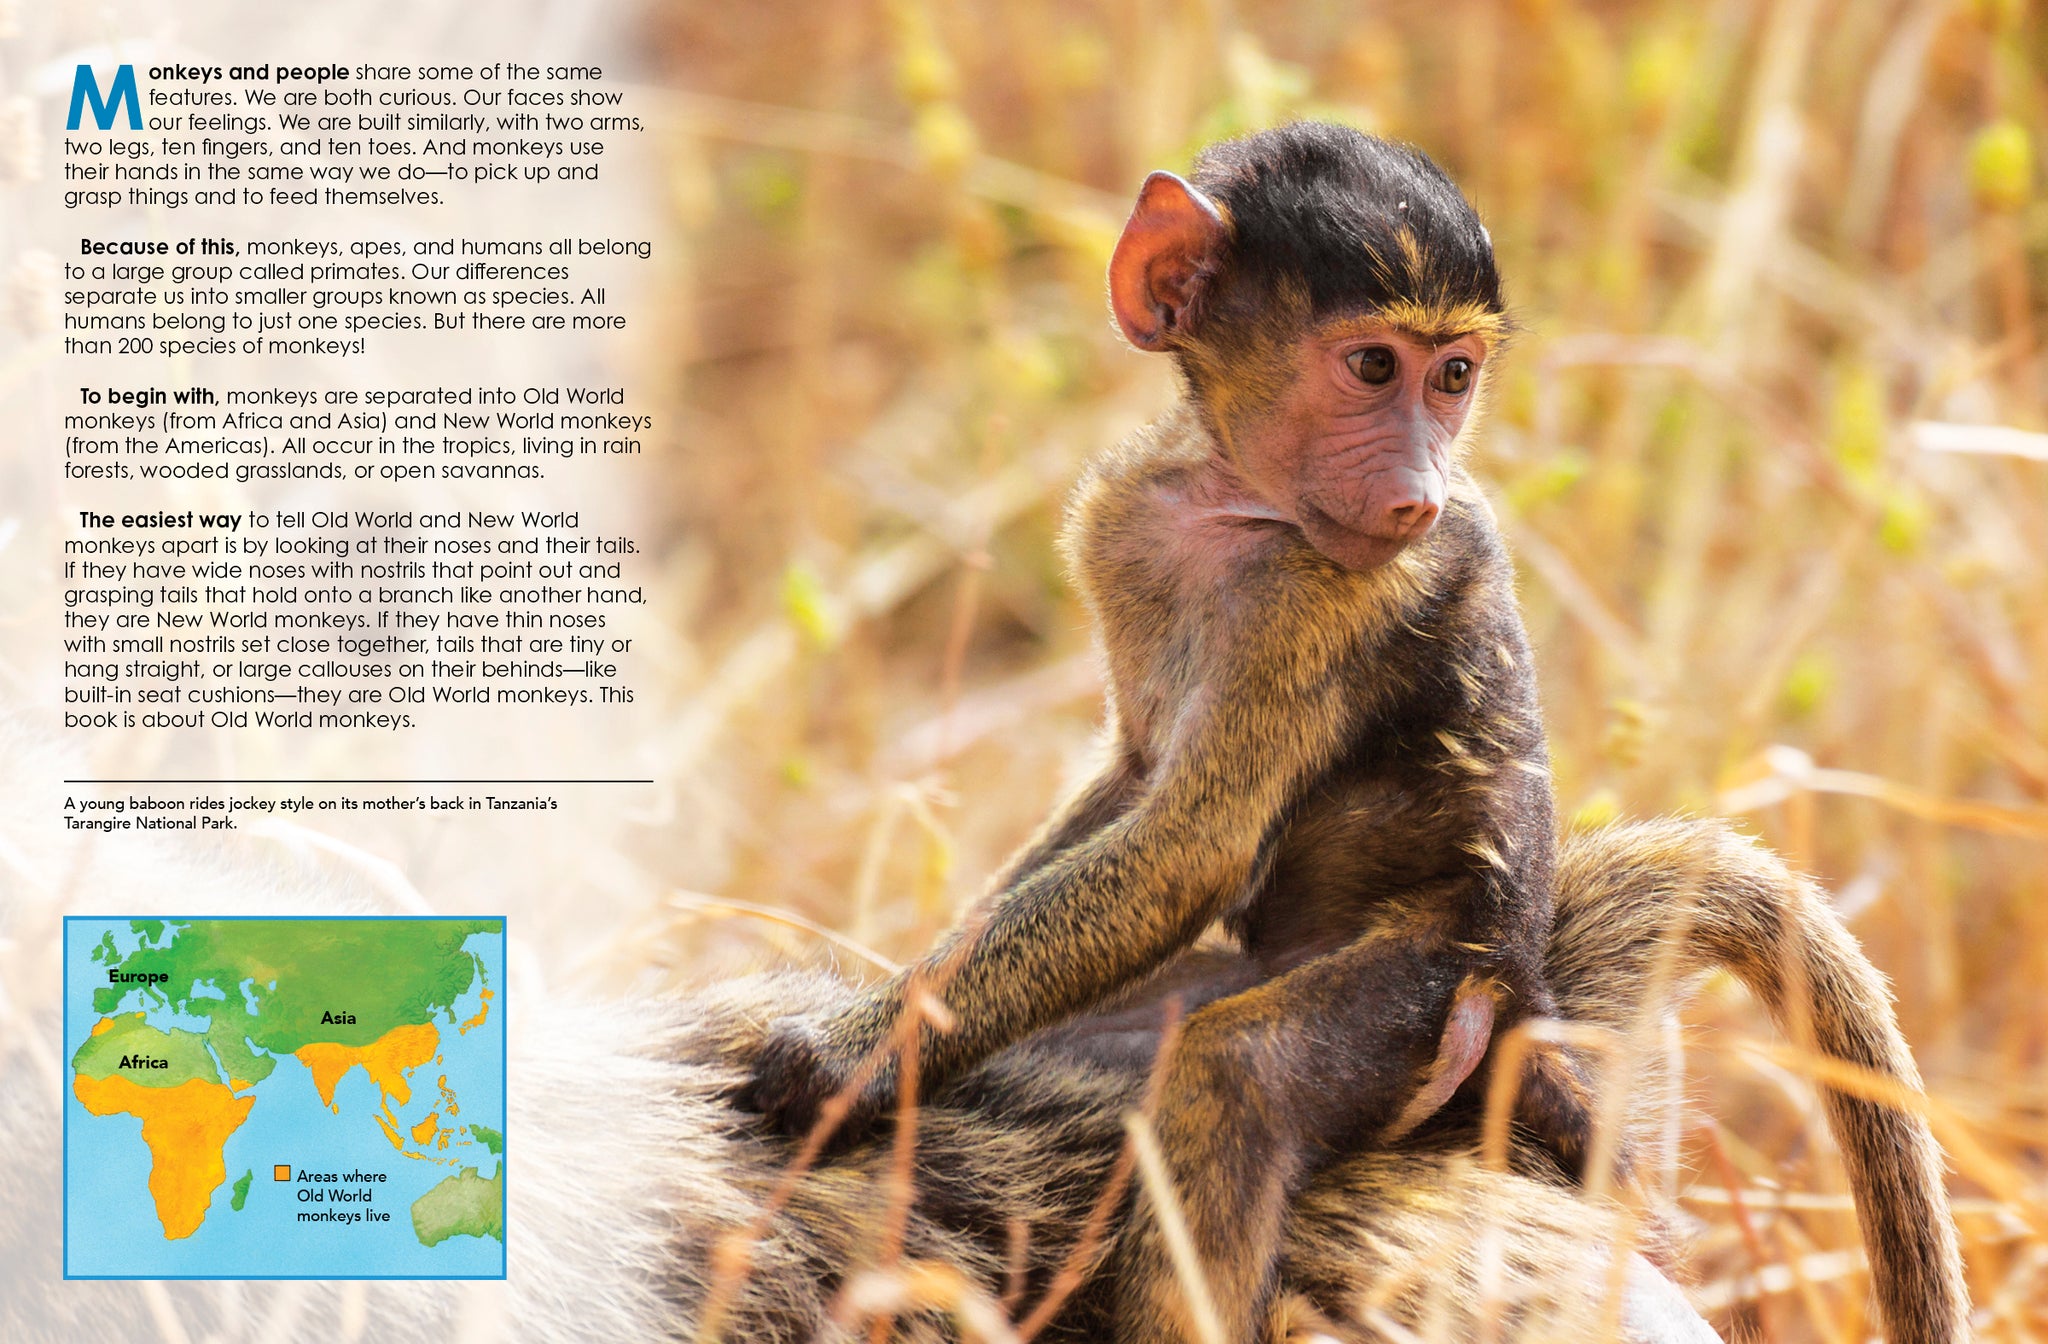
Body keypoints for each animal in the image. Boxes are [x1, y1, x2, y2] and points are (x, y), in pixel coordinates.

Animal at [740, 121, 1603, 1342]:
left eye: (1452, 376)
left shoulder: (1316, 599)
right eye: (1373, 368)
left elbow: (1187, 848)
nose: (1418, 497)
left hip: (1425, 999)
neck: (1229, 496)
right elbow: (1138, 781)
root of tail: (1520, 992)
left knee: (1227, 1076)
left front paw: (843, 1059)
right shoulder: (1119, 521)